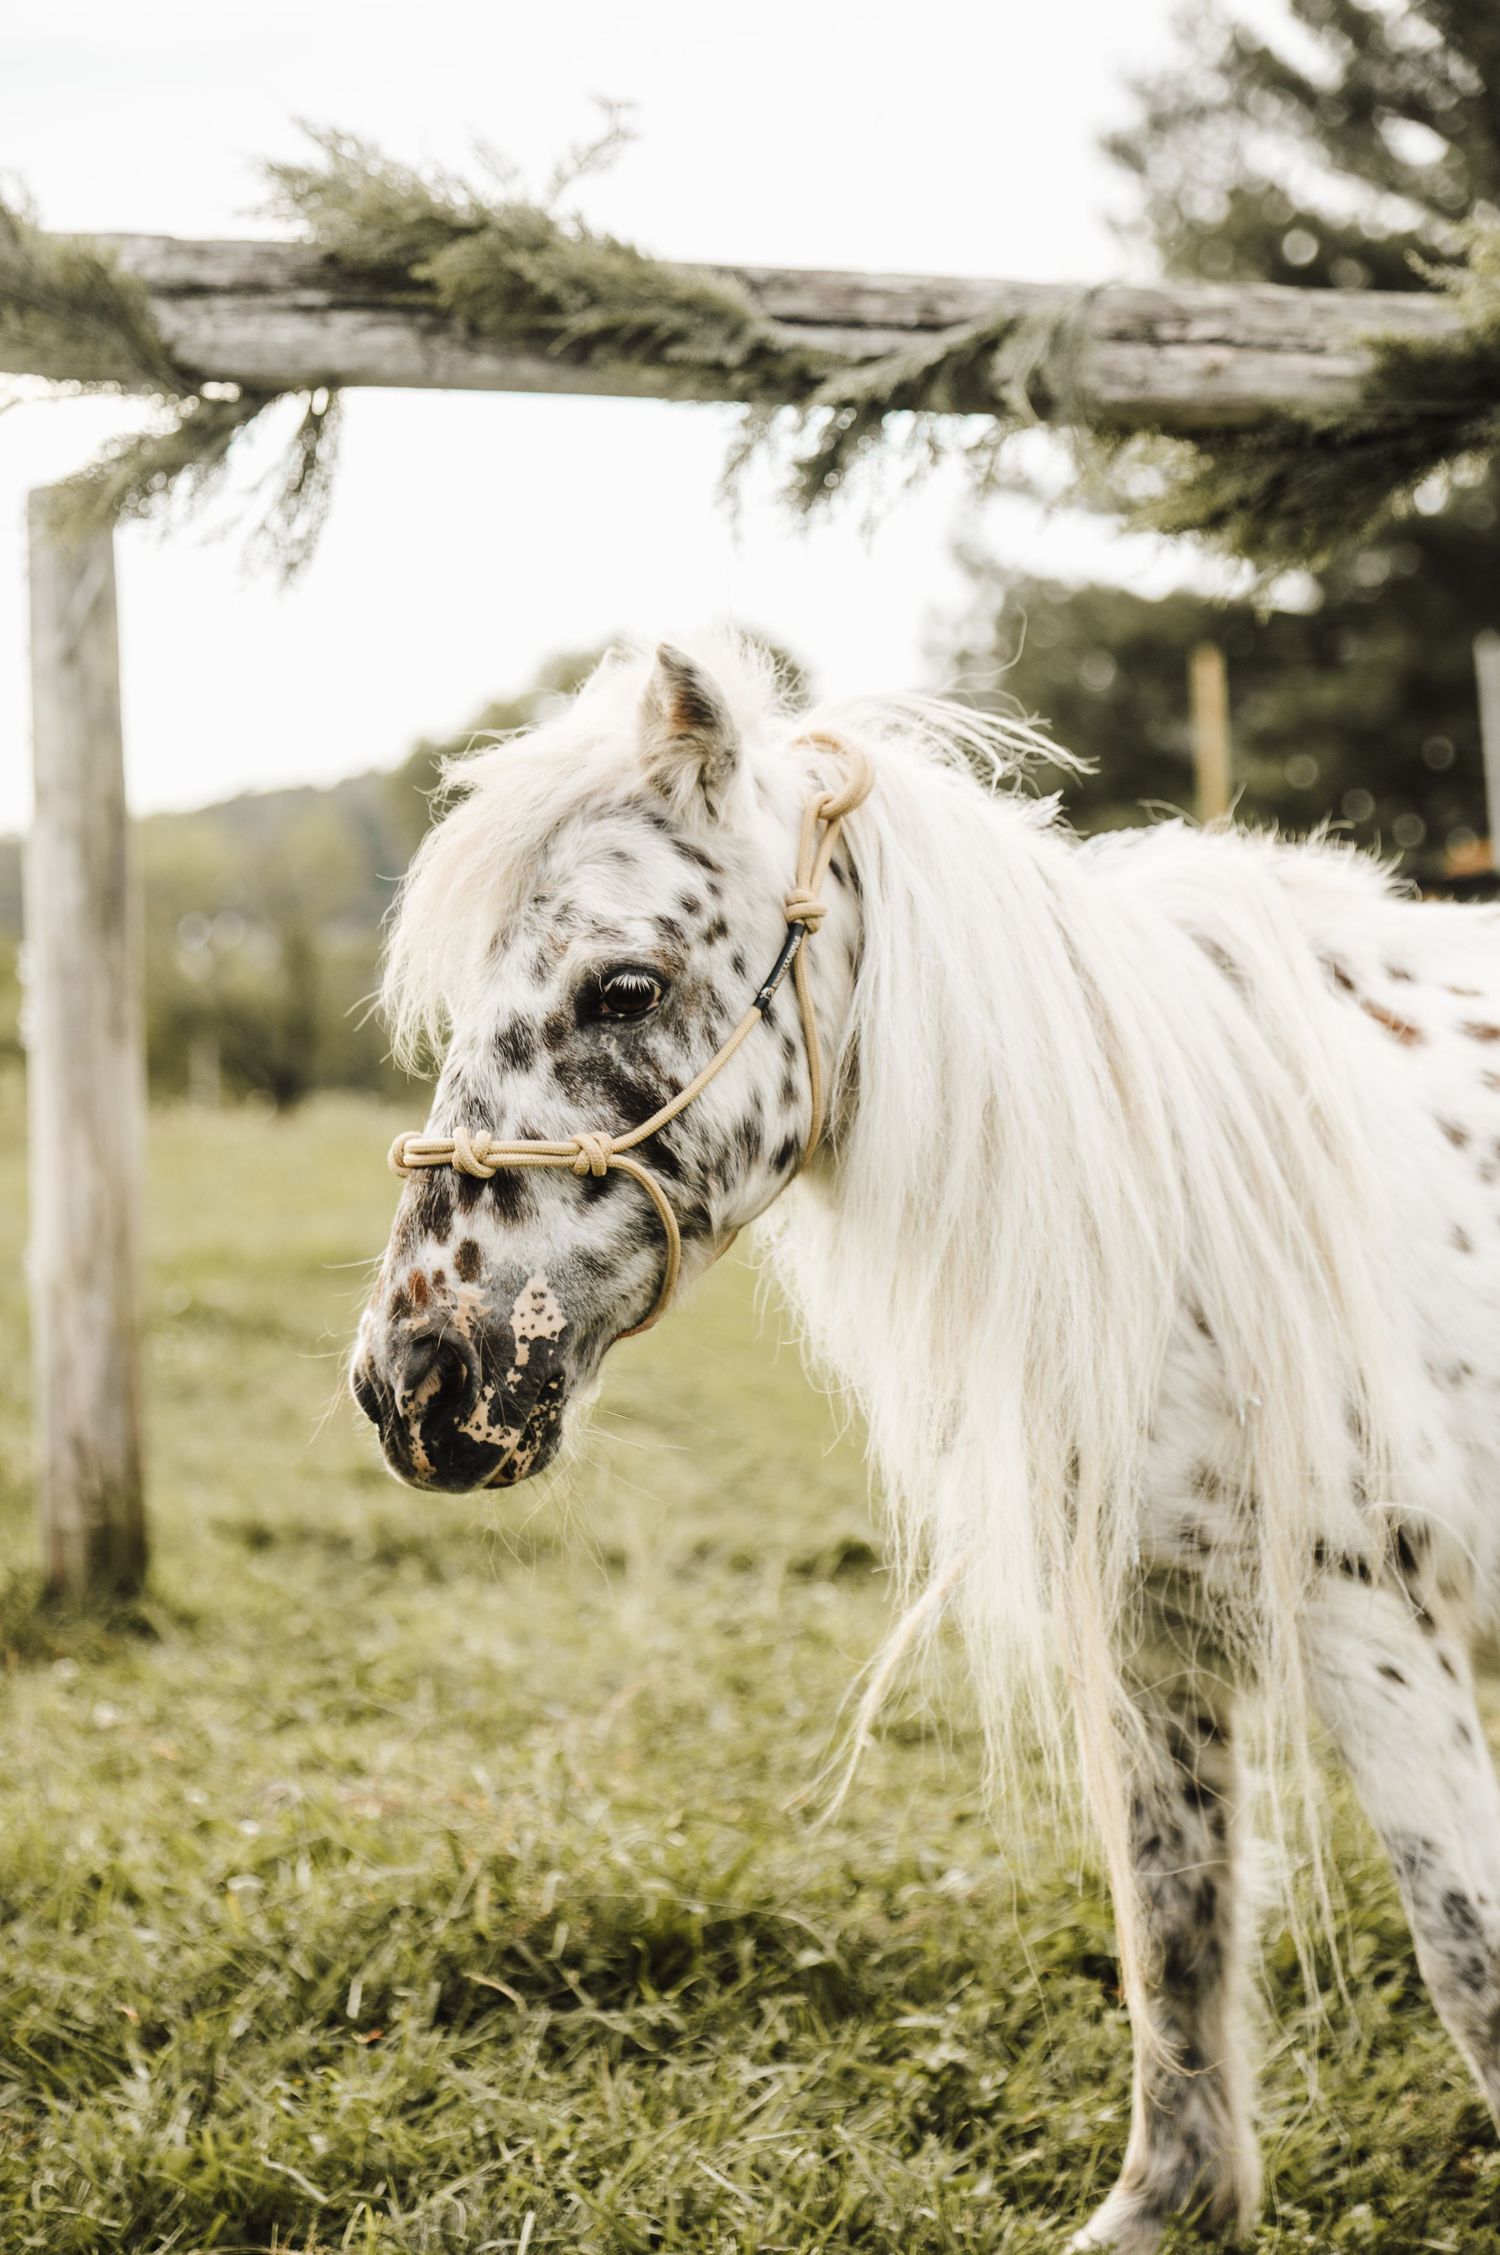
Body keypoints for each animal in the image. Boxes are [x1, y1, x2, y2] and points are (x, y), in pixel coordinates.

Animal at [351, 633, 1500, 2251]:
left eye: (624, 985)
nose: (411, 1382)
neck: (1185, 1191)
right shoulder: (1154, 1629)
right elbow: (1176, 1934)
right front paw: (1170, 2202)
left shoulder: (1375, 1624)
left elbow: (1470, 1971)